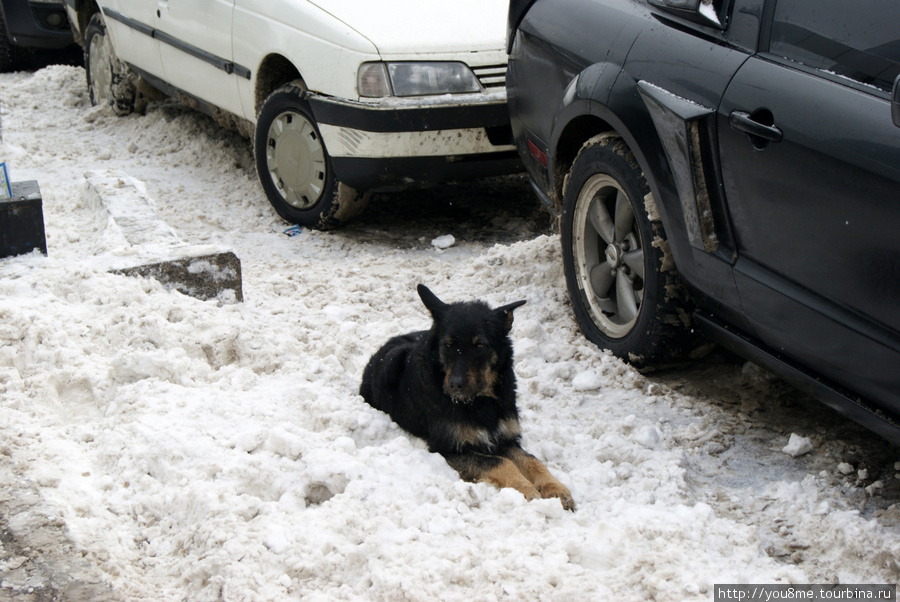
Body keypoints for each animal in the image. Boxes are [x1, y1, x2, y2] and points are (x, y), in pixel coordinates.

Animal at [360, 284, 576, 508]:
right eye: (448, 345)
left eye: (479, 345)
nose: (454, 385)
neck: (481, 401)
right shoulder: (447, 448)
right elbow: (500, 462)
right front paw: (526, 487)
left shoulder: (505, 439)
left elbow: (533, 460)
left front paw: (555, 488)